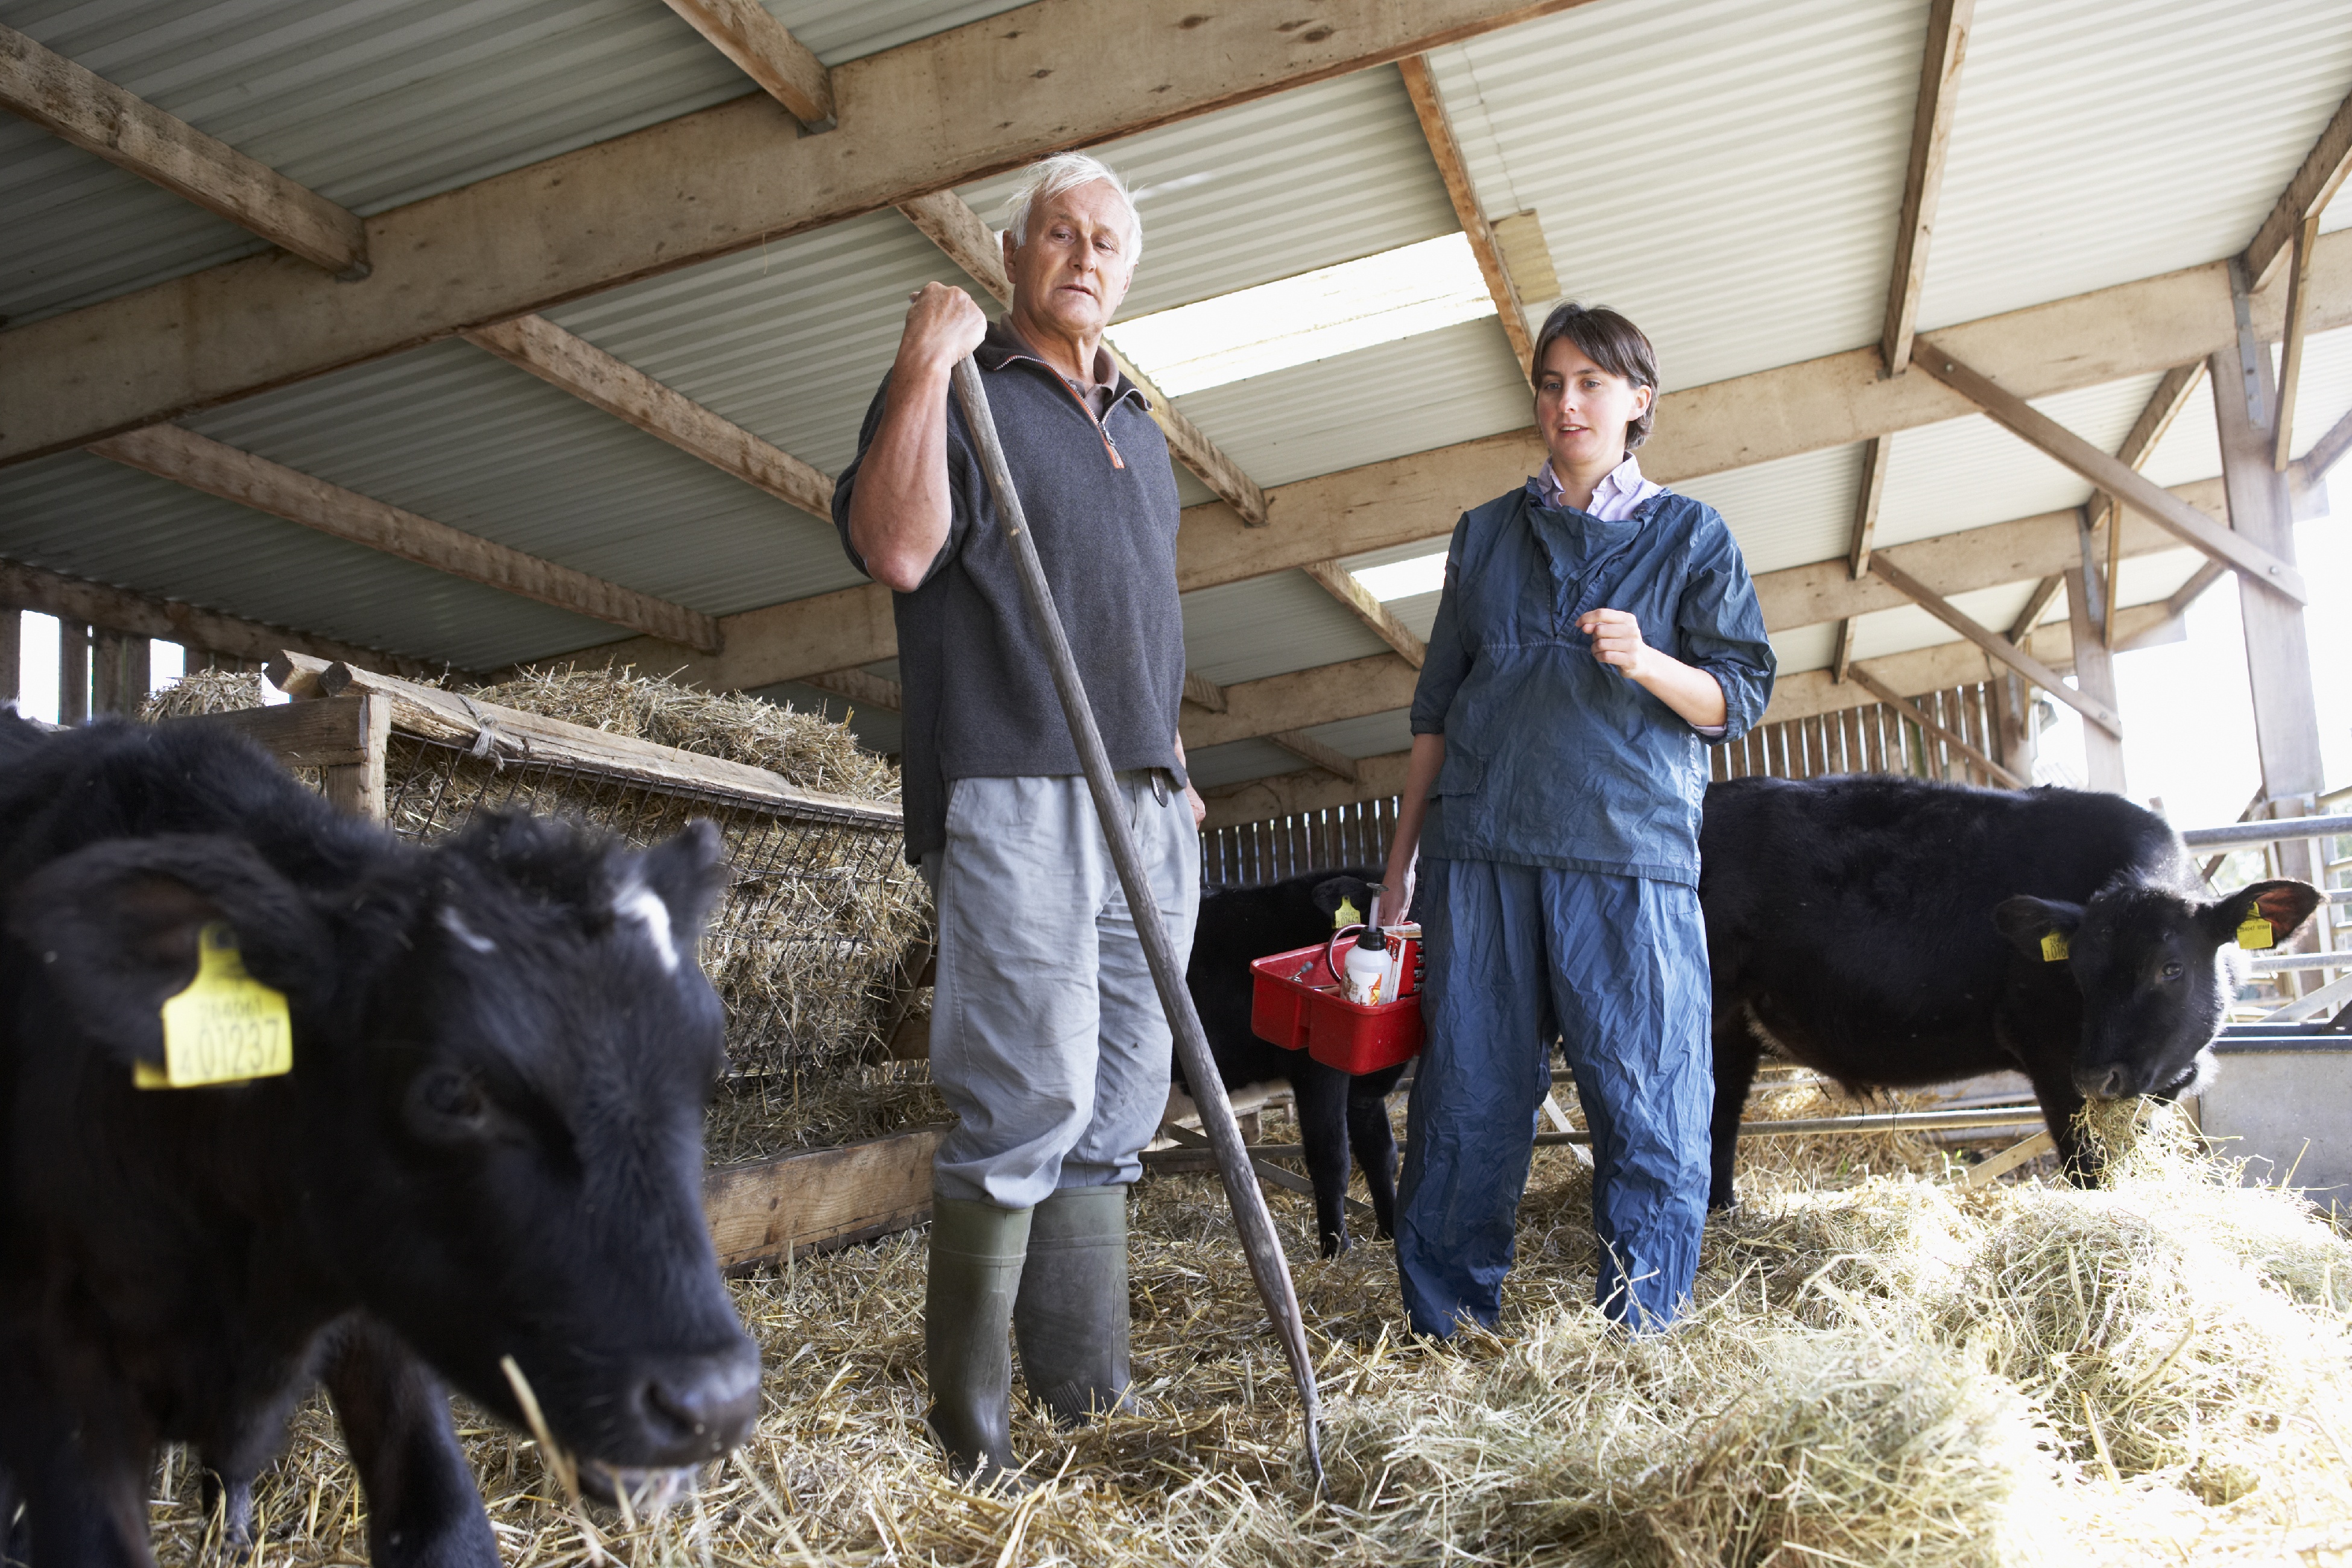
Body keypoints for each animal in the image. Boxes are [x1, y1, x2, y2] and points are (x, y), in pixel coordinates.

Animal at [1171, 870, 1392, 1260]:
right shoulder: (1318, 1070)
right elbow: (1331, 1158)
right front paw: (1336, 1249)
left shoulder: (1364, 1083)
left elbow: (1380, 1153)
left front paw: (1393, 1234)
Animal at [1702, 780, 2324, 1213]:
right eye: (2078, 973)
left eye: (2170, 968)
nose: (2097, 1074)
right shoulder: (2051, 1057)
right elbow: (2088, 1170)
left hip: (1729, 1031)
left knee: (1717, 1120)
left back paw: (1725, 1214)